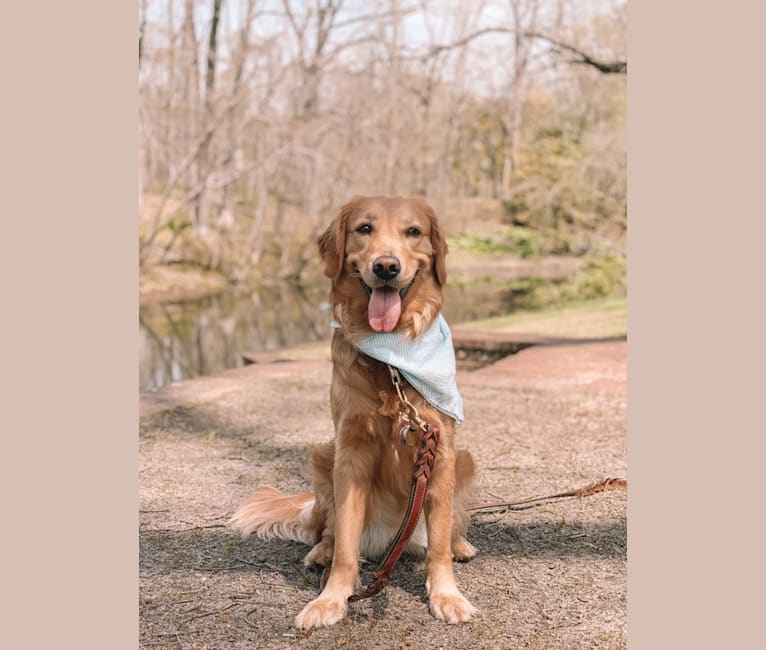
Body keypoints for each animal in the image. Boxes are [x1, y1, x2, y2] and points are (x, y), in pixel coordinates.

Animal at [231, 195, 476, 624]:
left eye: (413, 232)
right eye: (364, 228)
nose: (386, 266)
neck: (392, 358)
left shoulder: (440, 449)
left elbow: (438, 547)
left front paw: (446, 595)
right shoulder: (350, 454)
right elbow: (346, 542)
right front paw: (331, 598)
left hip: (464, 460)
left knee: (444, 529)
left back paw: (459, 544)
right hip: (322, 457)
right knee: (327, 530)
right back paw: (320, 552)